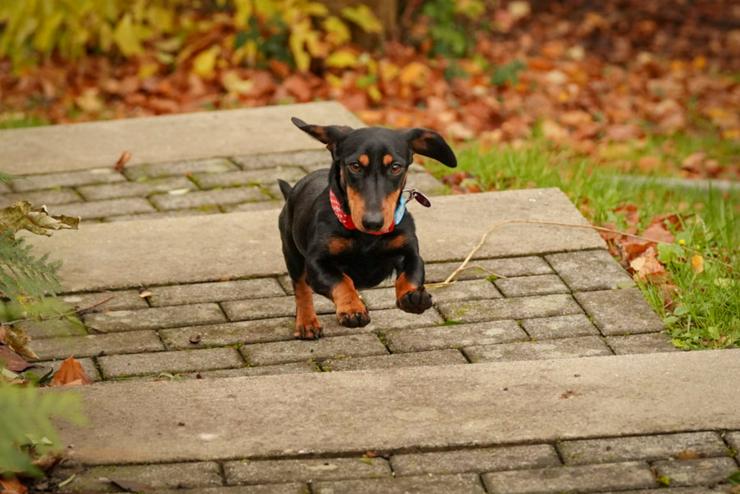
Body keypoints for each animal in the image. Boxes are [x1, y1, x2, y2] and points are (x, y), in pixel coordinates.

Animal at [276, 117, 454, 338]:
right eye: (355, 166)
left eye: (396, 167)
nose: (373, 222)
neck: (366, 237)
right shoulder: (317, 263)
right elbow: (341, 281)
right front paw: (352, 309)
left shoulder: (410, 252)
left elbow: (411, 273)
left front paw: (413, 297)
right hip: (291, 251)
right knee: (301, 287)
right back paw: (307, 323)